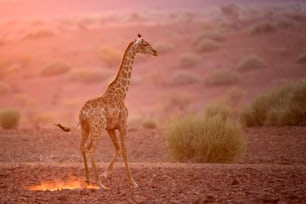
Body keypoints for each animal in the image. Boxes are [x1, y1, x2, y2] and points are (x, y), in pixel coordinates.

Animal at [56, 34, 158, 189]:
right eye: (145, 44)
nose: (155, 52)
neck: (122, 92)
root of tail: (83, 113)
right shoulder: (123, 125)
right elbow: (125, 151)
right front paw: (133, 182)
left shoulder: (110, 128)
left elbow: (118, 149)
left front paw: (105, 174)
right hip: (97, 128)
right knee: (91, 148)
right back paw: (99, 184)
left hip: (86, 128)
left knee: (82, 146)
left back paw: (88, 179)